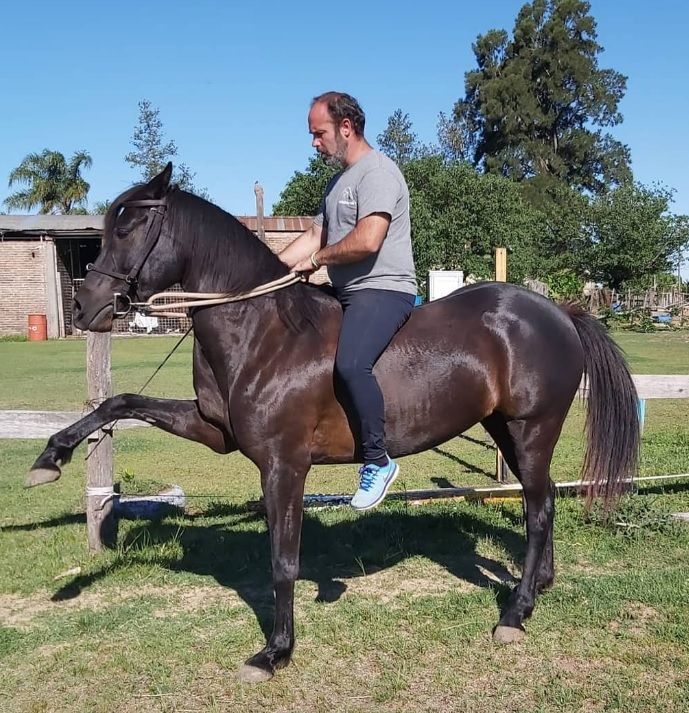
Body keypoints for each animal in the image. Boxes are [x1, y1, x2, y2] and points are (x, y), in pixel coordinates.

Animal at [28, 164, 640, 680]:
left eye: (130, 227)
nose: (87, 307)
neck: (264, 328)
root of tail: (559, 311)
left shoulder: (283, 465)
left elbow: (282, 561)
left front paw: (275, 652)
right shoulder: (213, 430)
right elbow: (119, 402)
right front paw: (51, 457)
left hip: (532, 430)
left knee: (537, 513)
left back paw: (515, 613)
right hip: (506, 432)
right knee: (546, 501)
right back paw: (539, 586)